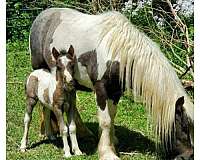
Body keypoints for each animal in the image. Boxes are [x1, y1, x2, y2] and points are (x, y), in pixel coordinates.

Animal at [28, 8, 193, 159]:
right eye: (184, 127)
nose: (189, 156)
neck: (119, 53)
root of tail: (41, 17)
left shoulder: (115, 91)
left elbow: (112, 116)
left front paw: (111, 141)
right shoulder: (101, 89)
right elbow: (106, 120)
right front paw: (107, 153)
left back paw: (82, 132)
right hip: (41, 70)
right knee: (44, 103)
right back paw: (48, 133)